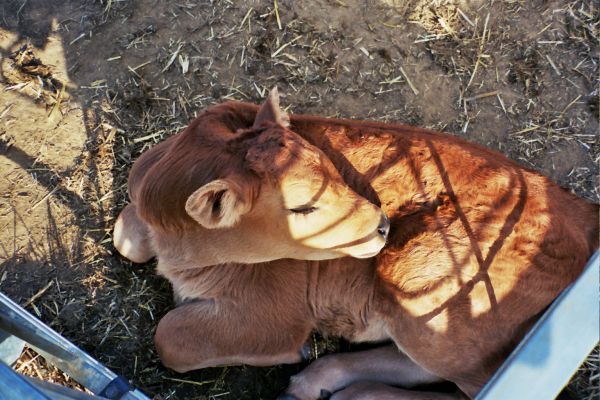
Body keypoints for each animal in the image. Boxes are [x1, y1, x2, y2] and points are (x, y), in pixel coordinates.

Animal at [113, 89, 600, 398]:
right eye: (302, 206)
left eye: (333, 167)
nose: (382, 224)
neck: (182, 245)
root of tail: (578, 209)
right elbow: (124, 236)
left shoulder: (275, 315)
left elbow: (171, 337)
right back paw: (319, 380)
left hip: (420, 285)